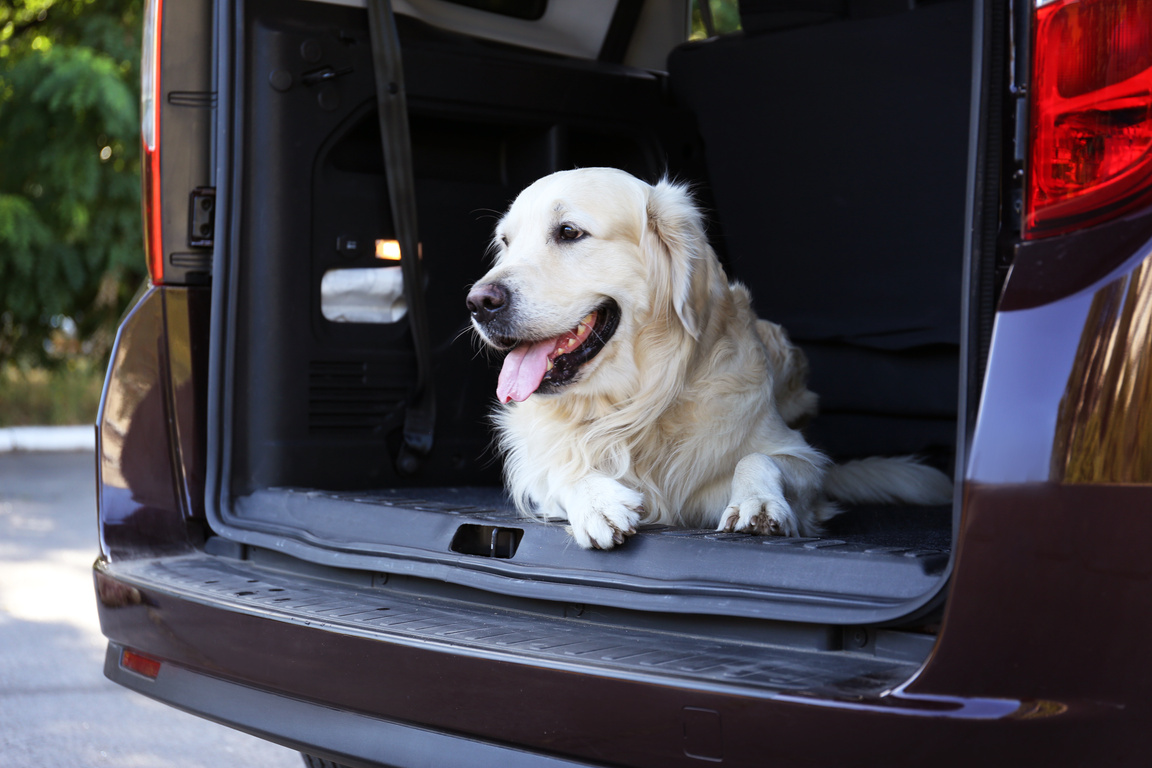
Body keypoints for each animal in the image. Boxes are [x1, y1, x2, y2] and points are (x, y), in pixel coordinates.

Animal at [463, 171, 949, 550]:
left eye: (568, 232)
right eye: (505, 242)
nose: (477, 302)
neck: (639, 406)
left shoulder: (805, 463)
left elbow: (759, 457)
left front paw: (758, 501)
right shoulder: (536, 466)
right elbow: (559, 468)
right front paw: (597, 501)